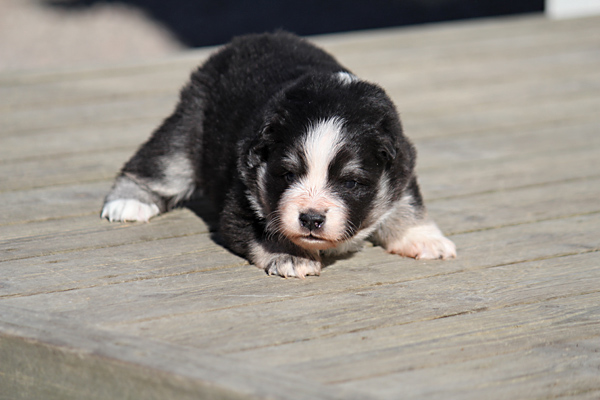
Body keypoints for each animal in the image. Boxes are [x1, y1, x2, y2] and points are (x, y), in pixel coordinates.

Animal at [101, 31, 456, 278]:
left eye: (351, 183)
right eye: (287, 174)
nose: (311, 219)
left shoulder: (400, 165)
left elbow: (407, 201)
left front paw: (424, 238)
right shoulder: (242, 196)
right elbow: (264, 230)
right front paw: (292, 256)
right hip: (190, 123)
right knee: (159, 163)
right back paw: (128, 202)